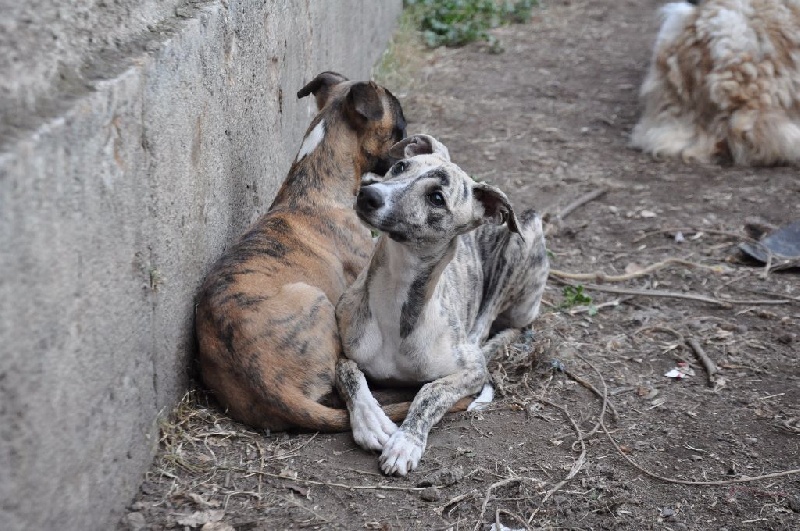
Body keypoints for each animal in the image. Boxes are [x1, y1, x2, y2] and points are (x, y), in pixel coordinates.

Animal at [332, 135, 552, 476]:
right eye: (400, 166)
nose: (368, 194)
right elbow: (349, 373)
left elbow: (431, 391)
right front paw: (370, 421)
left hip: (521, 242)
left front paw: (406, 441)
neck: (397, 297)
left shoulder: (472, 369)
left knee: (499, 324)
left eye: (436, 197)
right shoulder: (343, 345)